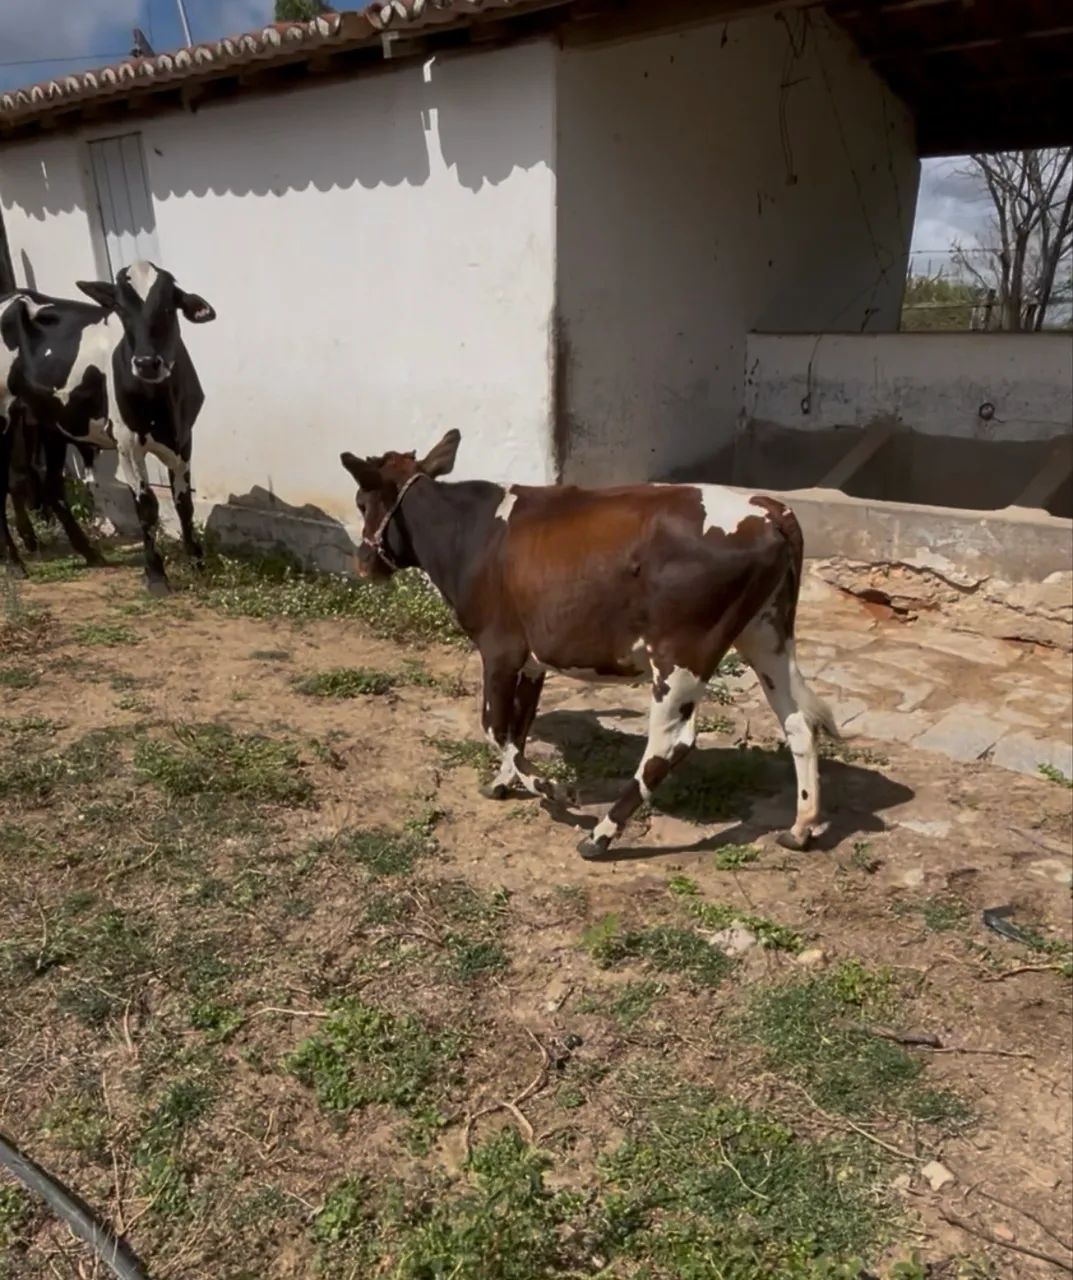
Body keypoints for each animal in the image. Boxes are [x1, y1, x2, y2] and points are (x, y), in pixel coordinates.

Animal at [1, 261, 215, 592]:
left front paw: (197, 563)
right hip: (4, 418)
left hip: (51, 425)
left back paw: (89, 553)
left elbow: (183, 503)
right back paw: (15, 563)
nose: (146, 362)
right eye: (120, 309)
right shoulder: (127, 444)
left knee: (48, 486)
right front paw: (156, 575)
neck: (163, 404)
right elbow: (147, 506)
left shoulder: (183, 439)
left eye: (169, 307)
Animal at [340, 429, 837, 859]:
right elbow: (519, 726)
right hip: (766, 635)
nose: (362, 562)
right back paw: (801, 827)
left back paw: (601, 835)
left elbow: (493, 725)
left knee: (669, 743)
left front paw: (548, 787)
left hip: (681, 652)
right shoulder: (533, 657)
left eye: (363, 502)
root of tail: (768, 509)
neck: (468, 534)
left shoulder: (499, 647)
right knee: (798, 722)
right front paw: (504, 782)